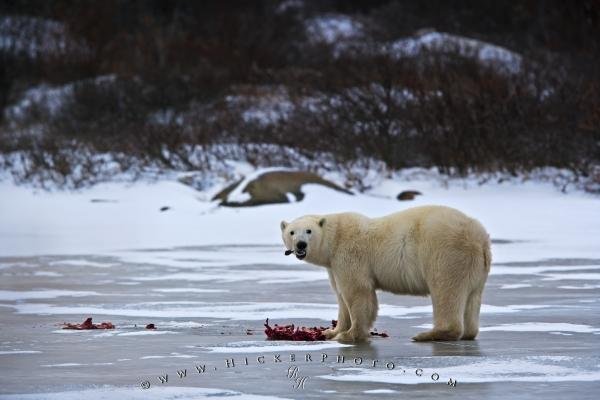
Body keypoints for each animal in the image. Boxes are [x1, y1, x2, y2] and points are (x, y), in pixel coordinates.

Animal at [278, 205, 490, 342]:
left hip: (446, 252)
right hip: (476, 268)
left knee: (446, 289)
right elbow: (340, 296)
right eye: (292, 232)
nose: (300, 245)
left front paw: (349, 335)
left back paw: (427, 335)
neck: (335, 238)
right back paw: (468, 332)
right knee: (472, 297)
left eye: (309, 231)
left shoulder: (349, 254)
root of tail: (480, 237)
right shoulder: (333, 265)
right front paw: (331, 331)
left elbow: (357, 292)